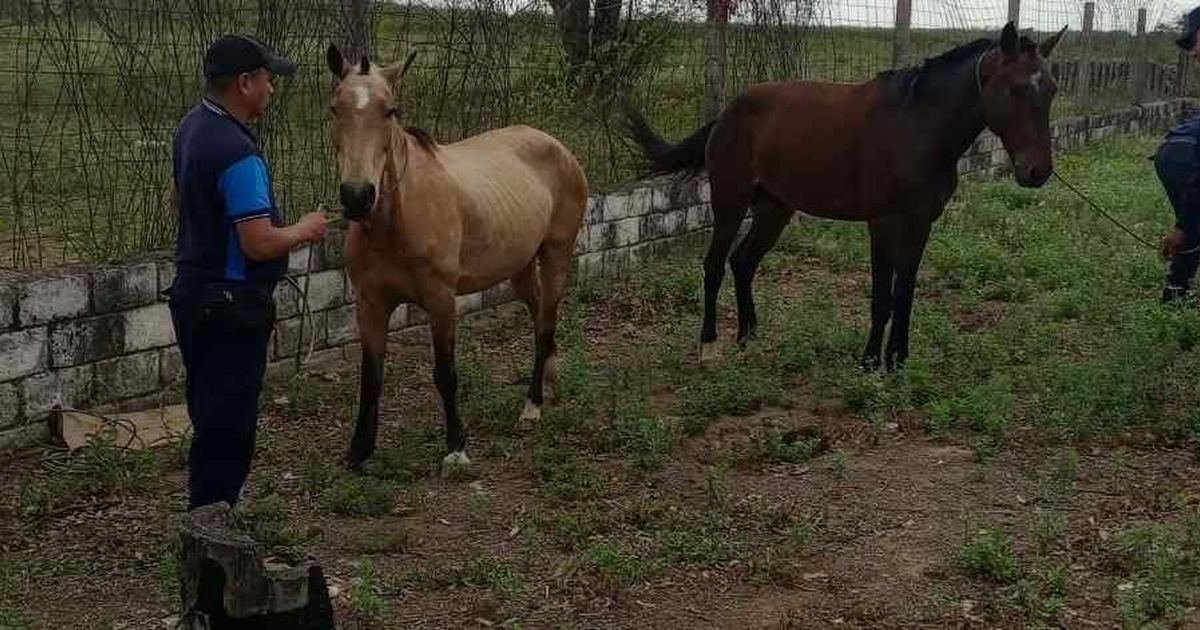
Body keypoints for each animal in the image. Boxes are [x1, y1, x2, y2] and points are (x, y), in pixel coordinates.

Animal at [325, 45, 589, 473]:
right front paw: (359, 450)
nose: (357, 196)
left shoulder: (441, 301)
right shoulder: (370, 305)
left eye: (390, 110)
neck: (396, 221)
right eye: (335, 108)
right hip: (519, 269)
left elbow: (445, 374)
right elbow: (371, 378)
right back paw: (550, 382)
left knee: (546, 322)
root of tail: (557, 147)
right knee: (540, 321)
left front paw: (456, 446)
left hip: (556, 255)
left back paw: (531, 405)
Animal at [623, 22, 1066, 370]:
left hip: (774, 208)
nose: (1037, 172)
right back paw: (709, 345)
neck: (917, 127)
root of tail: (729, 111)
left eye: (1052, 89)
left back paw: (749, 336)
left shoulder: (921, 223)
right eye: (1014, 89)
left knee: (743, 262)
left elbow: (904, 292)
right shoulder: (882, 223)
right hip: (730, 202)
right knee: (715, 265)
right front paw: (871, 361)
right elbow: (881, 296)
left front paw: (898, 360)